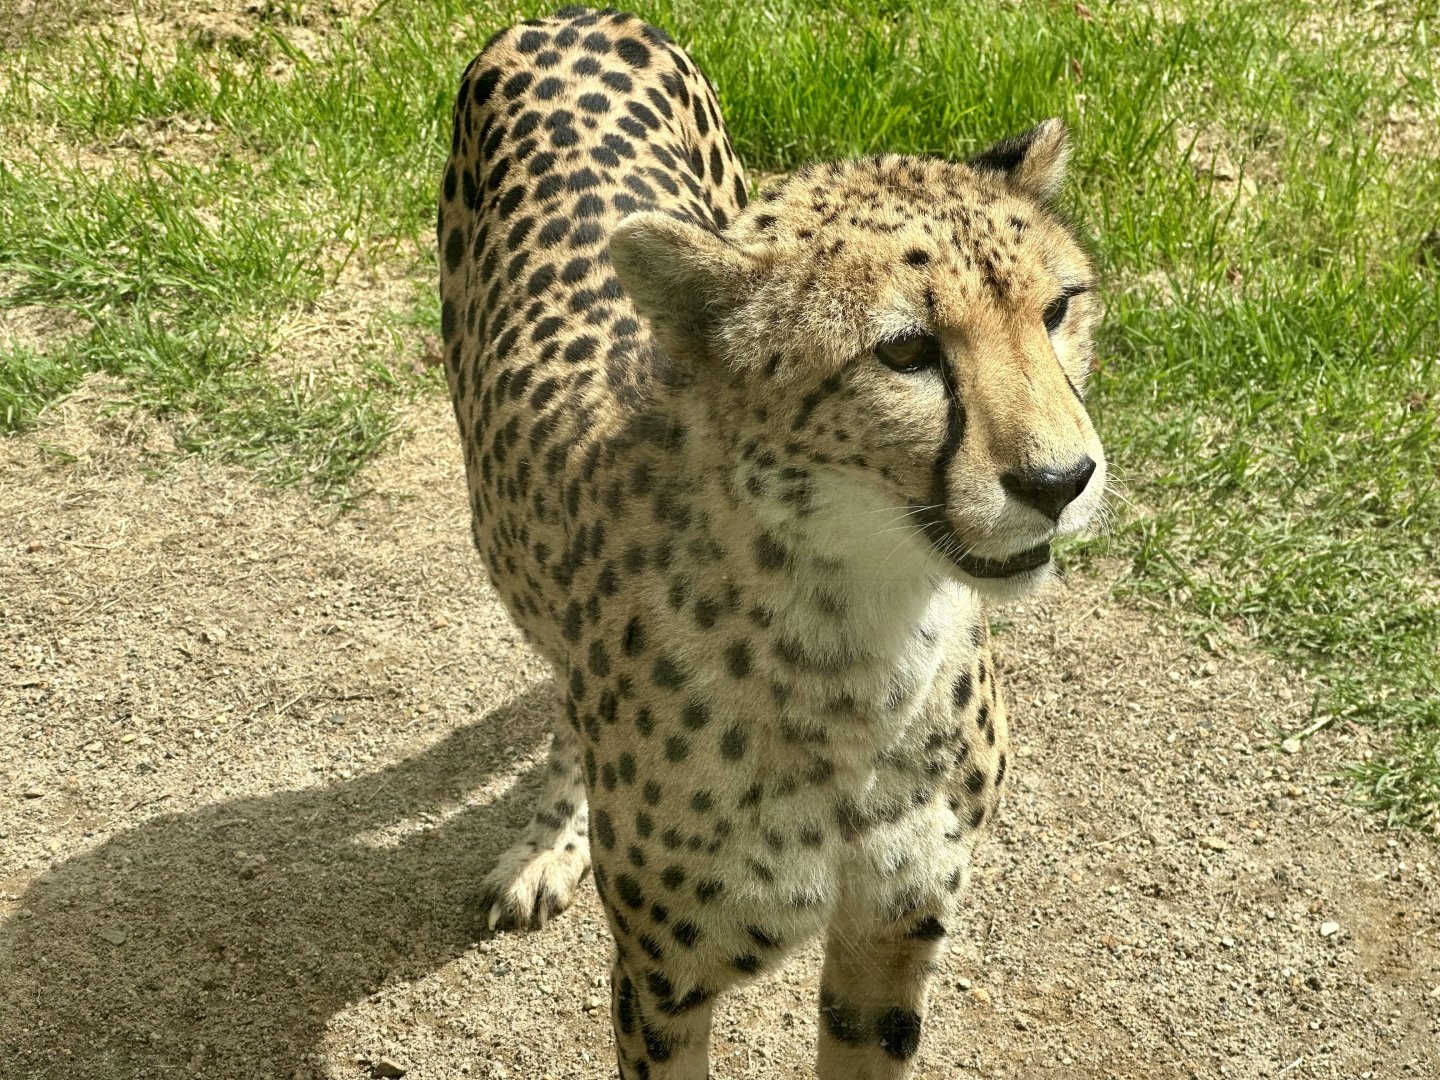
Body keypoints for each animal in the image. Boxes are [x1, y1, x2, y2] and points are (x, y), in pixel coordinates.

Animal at [437, 7, 1106, 1077]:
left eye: (1056, 311)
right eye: (905, 351)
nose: (1062, 481)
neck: (861, 640)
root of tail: (569, 16)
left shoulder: (892, 928)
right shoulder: (662, 979)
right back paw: (550, 838)